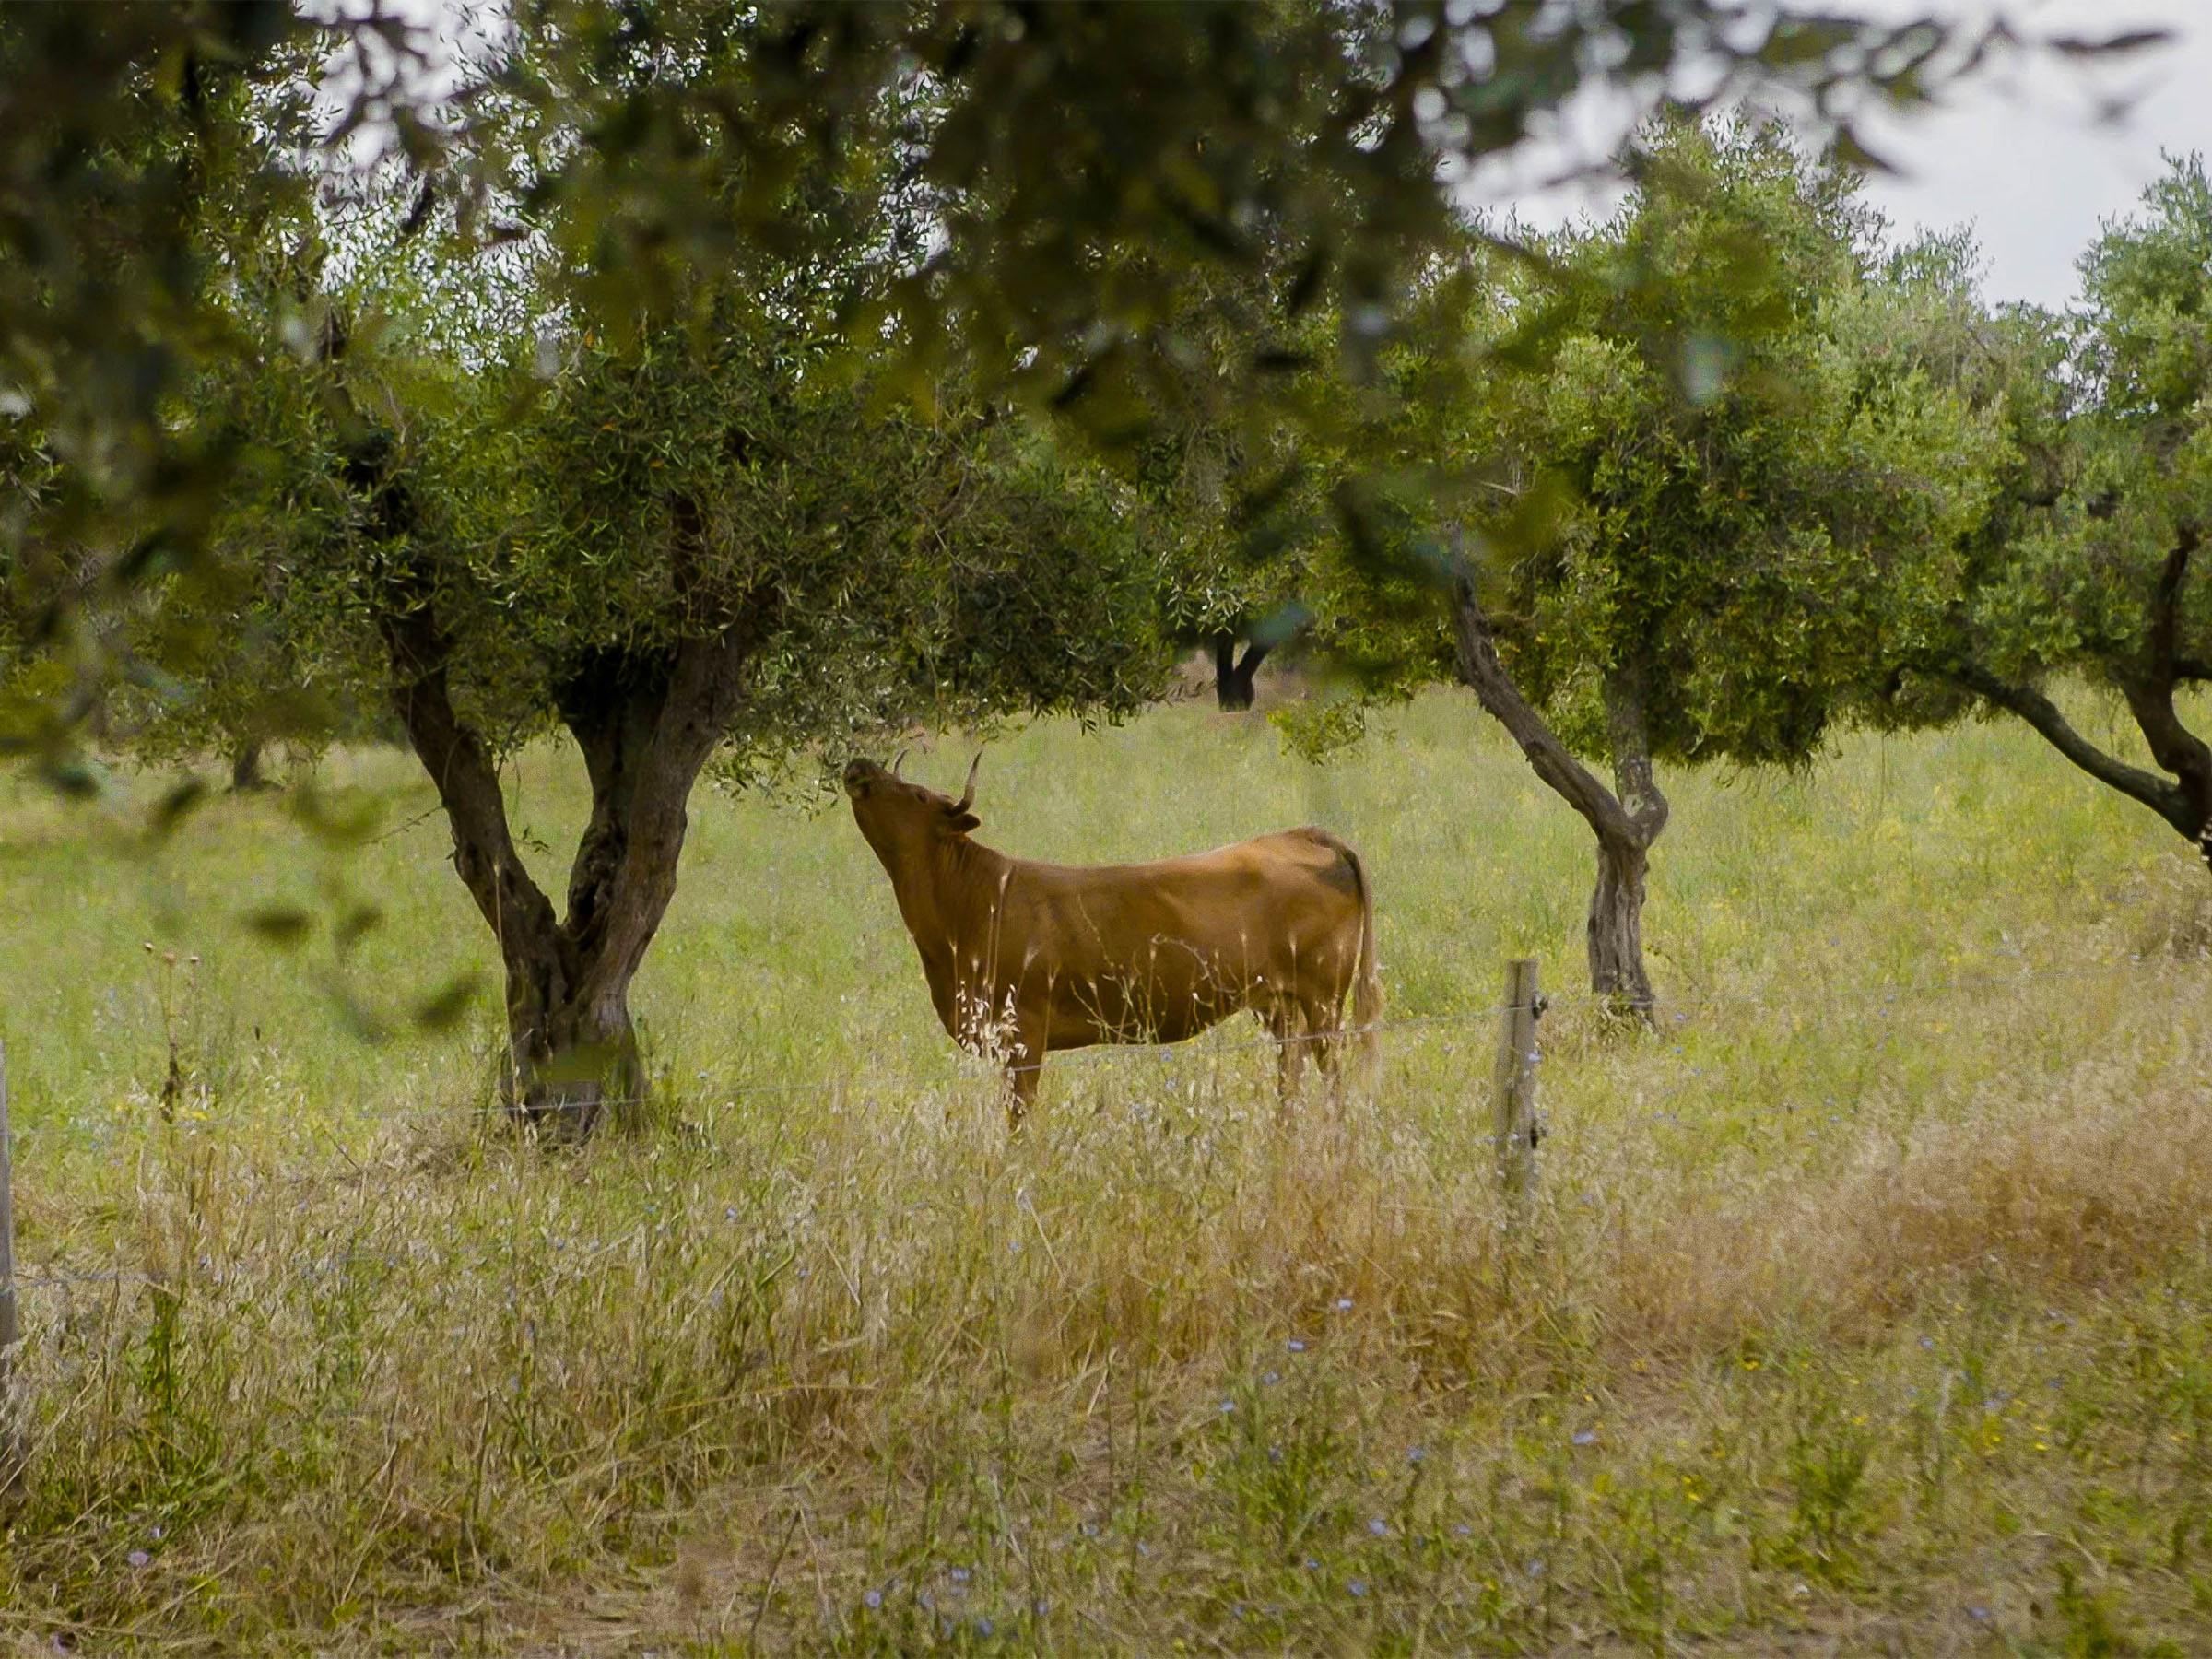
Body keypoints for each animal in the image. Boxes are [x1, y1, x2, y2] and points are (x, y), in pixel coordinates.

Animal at [836, 756, 1371, 1132]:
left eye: (916, 794)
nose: (859, 762)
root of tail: (1303, 834)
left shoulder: (1024, 1033)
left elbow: (1020, 1120)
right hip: (1279, 1002)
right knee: (1291, 1070)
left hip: (1323, 996)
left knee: (1331, 1071)